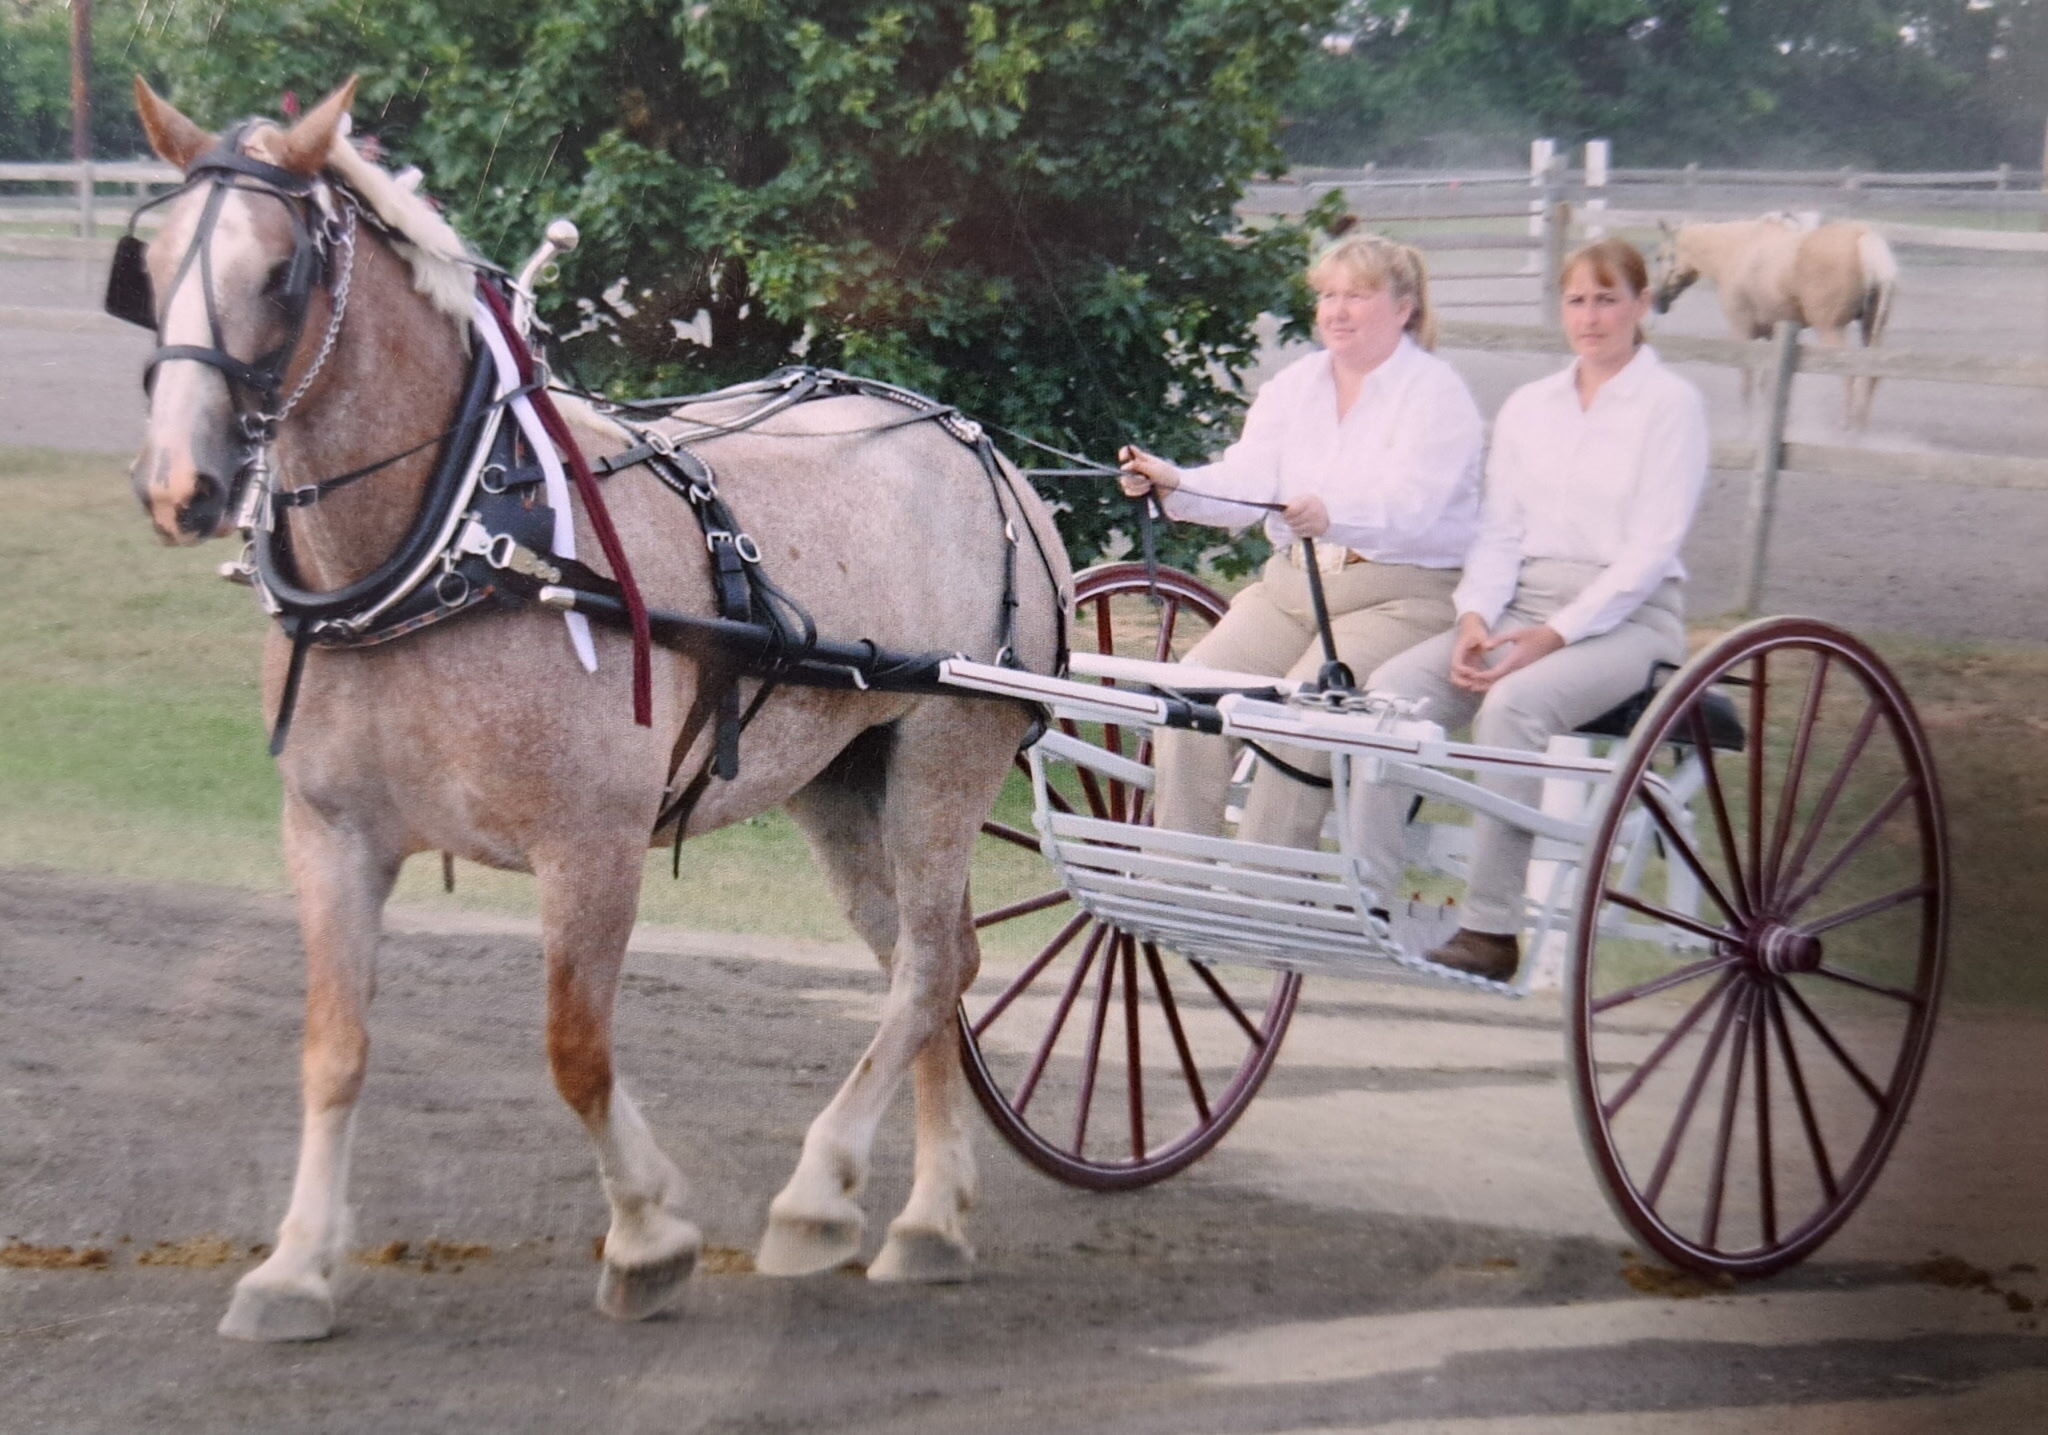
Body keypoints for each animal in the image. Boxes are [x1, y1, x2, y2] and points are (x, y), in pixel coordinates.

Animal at [121, 76, 1070, 1340]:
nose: (179, 485)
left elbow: (576, 1051)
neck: (467, 538)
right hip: (839, 775)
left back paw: (821, 1194)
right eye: (150, 263)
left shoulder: (591, 845)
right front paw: (296, 1266)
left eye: (280, 272)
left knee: (926, 966)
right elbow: (333, 1047)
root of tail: (982, 452)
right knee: (934, 964)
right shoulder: (329, 833)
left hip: (942, 752)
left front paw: (650, 1232)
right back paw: (929, 1214)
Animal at [1651, 215, 1899, 427]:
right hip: (1870, 330)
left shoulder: (1741, 331)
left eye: (1661, 256)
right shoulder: (1771, 336)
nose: (1657, 301)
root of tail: (1863, 239)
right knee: (1872, 378)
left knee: (1849, 376)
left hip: (1832, 330)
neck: (1737, 251)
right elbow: (1767, 385)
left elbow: (1747, 382)